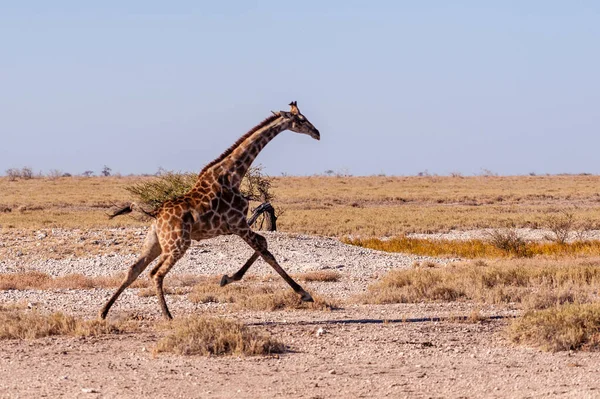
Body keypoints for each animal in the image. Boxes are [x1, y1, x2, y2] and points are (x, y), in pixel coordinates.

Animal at [101, 101, 322, 320]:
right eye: (301, 119)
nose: (317, 133)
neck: (233, 176)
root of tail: (155, 213)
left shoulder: (237, 226)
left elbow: (264, 245)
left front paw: (226, 278)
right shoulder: (239, 224)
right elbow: (266, 251)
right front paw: (304, 294)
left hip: (155, 241)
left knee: (135, 269)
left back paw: (104, 312)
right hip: (178, 243)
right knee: (156, 273)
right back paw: (167, 316)